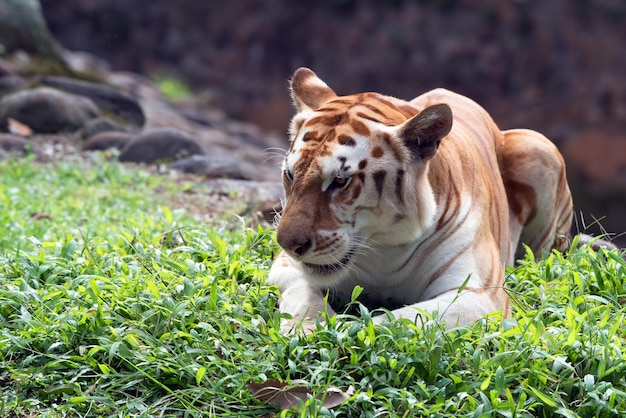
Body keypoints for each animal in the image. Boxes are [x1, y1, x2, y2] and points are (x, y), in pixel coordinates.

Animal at [266, 67, 572, 332]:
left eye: (340, 181)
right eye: (290, 175)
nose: (288, 244)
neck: (385, 244)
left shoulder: (479, 295)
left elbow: (394, 320)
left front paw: (336, 332)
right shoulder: (286, 267)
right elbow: (303, 293)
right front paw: (305, 327)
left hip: (537, 146)